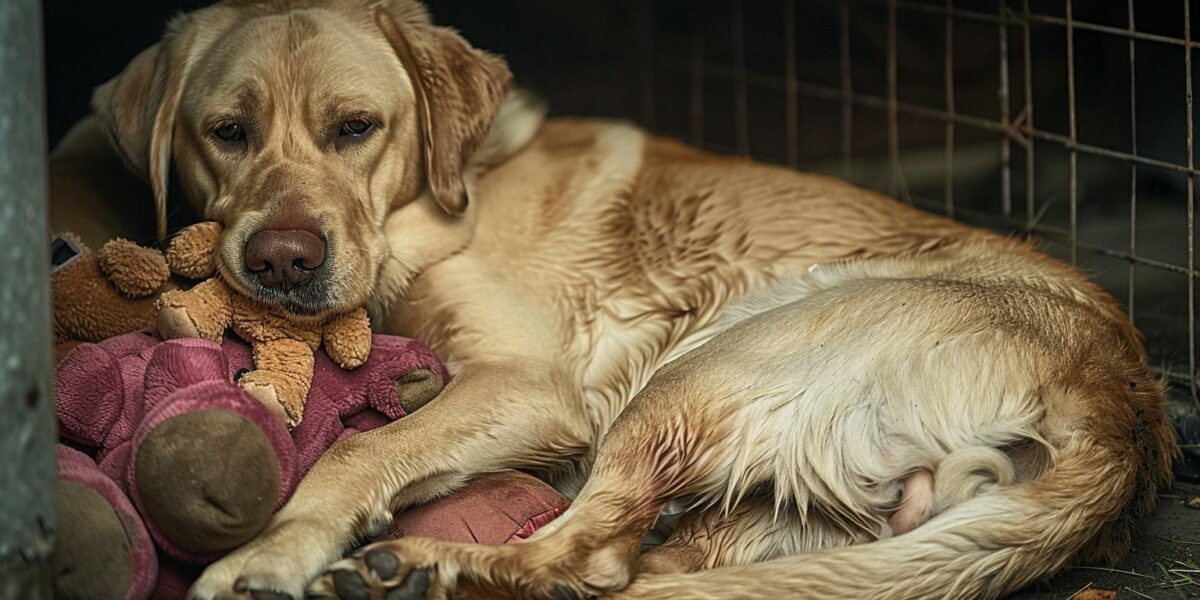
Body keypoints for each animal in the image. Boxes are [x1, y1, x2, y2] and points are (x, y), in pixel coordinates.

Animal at [72, 0, 1171, 595]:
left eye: (356, 128)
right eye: (226, 133)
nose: (283, 262)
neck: (437, 205)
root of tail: (1124, 406)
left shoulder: (530, 384)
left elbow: (358, 449)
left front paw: (270, 553)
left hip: (702, 367)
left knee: (592, 556)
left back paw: (418, 566)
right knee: (639, 575)